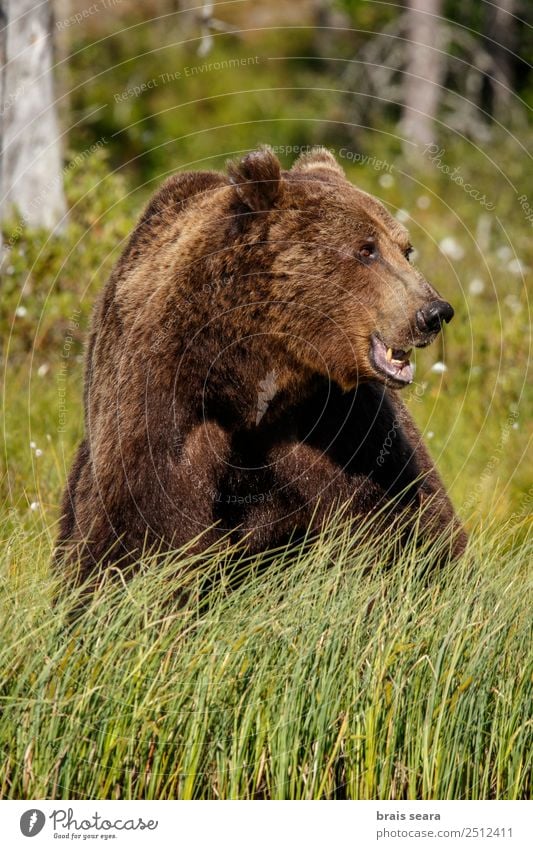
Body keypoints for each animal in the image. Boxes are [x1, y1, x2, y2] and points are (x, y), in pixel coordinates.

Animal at [57, 147, 466, 584]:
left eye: (405, 249)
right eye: (366, 249)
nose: (434, 312)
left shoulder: (341, 422)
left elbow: (408, 520)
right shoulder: (162, 402)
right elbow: (133, 532)